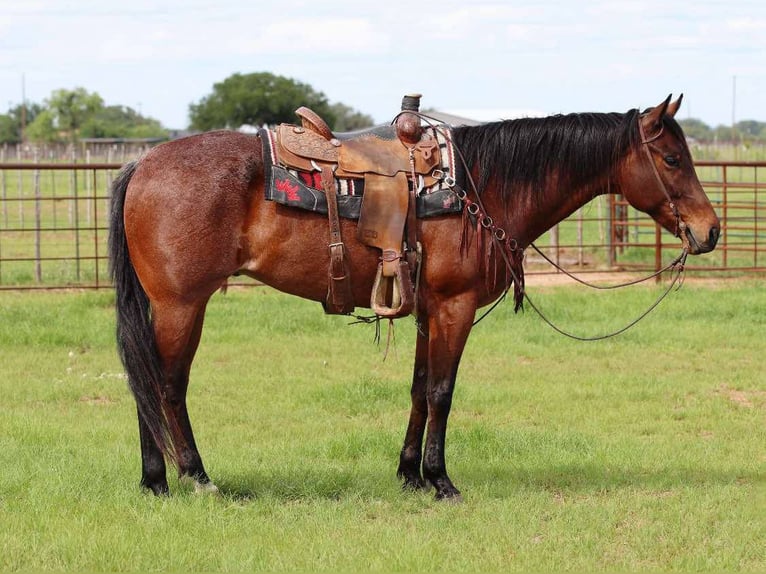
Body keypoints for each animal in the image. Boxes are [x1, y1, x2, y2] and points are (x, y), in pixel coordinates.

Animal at [108, 94, 719, 500]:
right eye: (672, 160)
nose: (709, 230)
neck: (479, 186)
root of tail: (143, 162)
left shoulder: (428, 310)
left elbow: (420, 390)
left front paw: (409, 475)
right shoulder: (455, 306)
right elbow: (443, 393)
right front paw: (441, 480)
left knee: (150, 386)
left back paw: (156, 480)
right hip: (181, 307)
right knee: (164, 386)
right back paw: (187, 478)